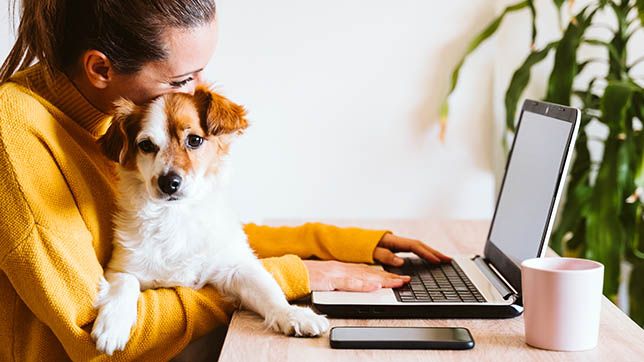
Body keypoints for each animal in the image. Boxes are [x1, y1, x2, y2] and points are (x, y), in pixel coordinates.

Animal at [91, 85, 330, 356]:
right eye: (146, 145)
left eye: (194, 140)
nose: (169, 182)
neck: (176, 217)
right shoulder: (121, 267)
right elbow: (124, 285)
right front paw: (113, 325)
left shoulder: (236, 267)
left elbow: (268, 290)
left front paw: (293, 314)